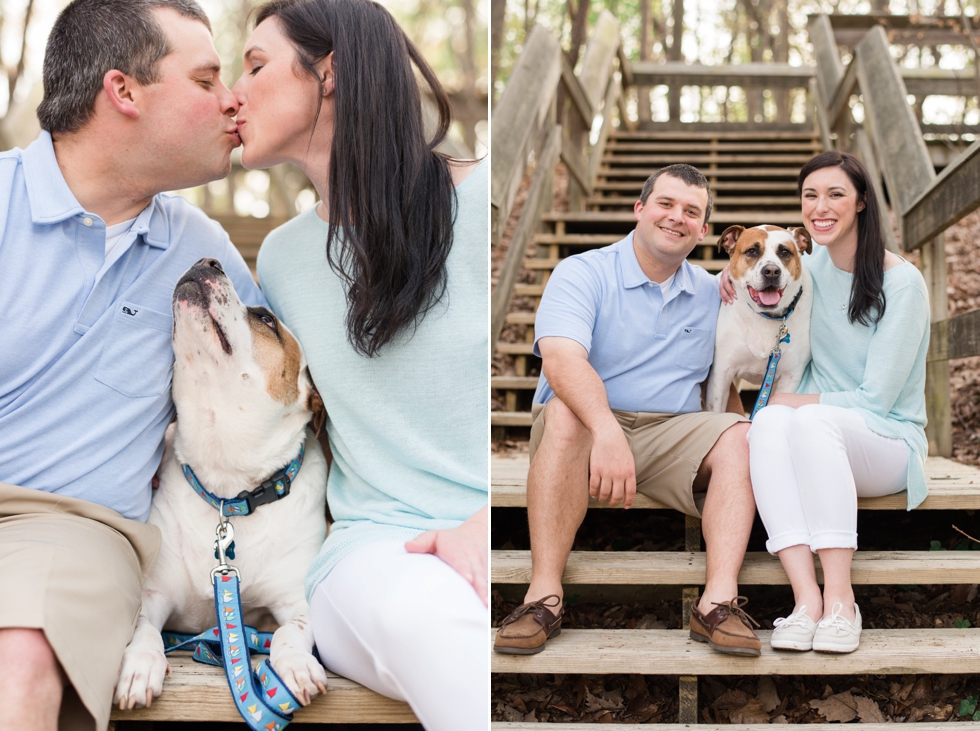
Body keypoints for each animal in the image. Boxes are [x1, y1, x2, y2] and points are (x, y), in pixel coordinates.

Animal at [114, 258, 330, 708]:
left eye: (266, 319)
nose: (206, 261)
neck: (228, 486)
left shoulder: (295, 602)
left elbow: (290, 631)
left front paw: (295, 664)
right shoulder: (153, 598)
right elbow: (144, 631)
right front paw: (140, 665)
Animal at [704, 226, 812, 414]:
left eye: (785, 252)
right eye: (752, 251)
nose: (772, 271)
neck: (766, 316)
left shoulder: (790, 378)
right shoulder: (721, 375)